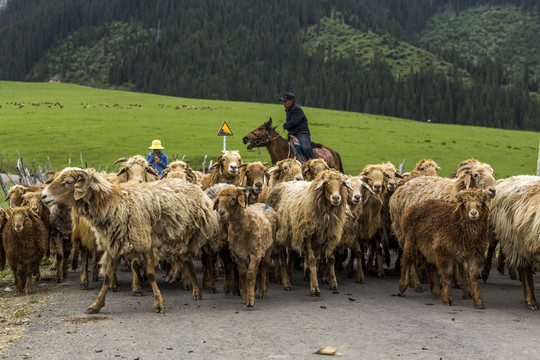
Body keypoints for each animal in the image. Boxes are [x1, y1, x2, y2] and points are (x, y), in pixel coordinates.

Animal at [42, 169, 218, 312]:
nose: (43, 196)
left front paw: (159, 303)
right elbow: (108, 276)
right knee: (186, 258)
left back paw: (191, 286)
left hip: (188, 234)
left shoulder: (145, 243)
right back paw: (196, 289)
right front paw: (96, 305)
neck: (114, 203)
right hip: (177, 236)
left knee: (186, 258)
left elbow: (151, 274)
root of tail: (192, 186)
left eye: (68, 182)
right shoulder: (115, 244)